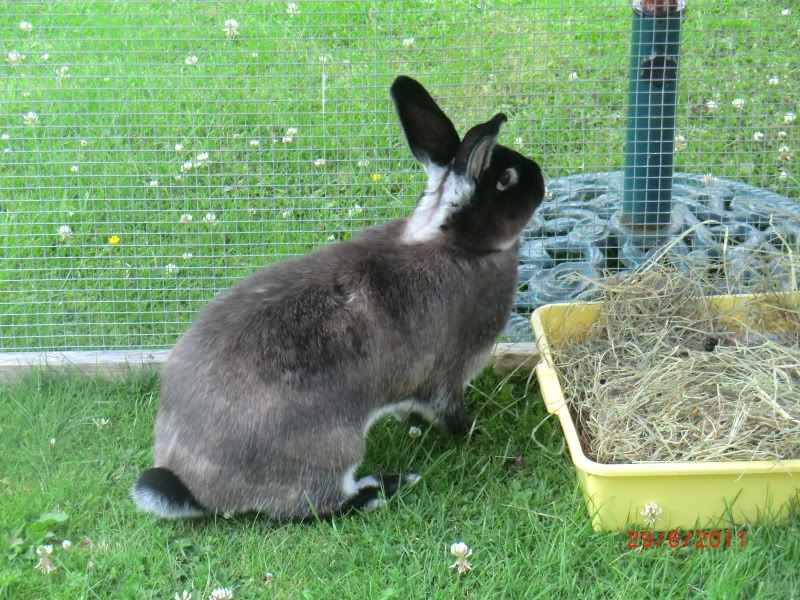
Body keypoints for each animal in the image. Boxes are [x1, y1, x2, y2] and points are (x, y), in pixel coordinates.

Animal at [133, 75, 544, 520]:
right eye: (506, 179)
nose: (541, 177)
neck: (458, 246)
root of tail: (197, 490)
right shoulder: (446, 375)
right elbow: (449, 412)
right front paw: (472, 432)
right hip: (333, 450)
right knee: (323, 505)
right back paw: (387, 485)